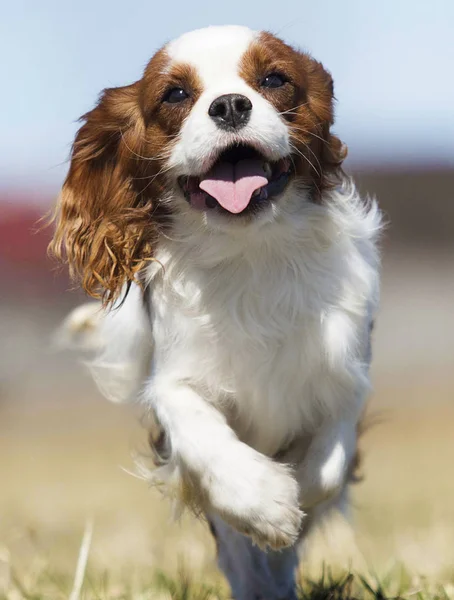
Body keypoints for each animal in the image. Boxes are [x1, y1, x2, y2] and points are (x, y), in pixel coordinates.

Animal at [50, 25, 380, 596]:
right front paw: (266, 502)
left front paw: (298, 486)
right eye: (175, 94)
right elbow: (203, 435)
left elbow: (329, 461)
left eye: (274, 80)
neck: (251, 251)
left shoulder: (348, 365)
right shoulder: (174, 380)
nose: (229, 105)